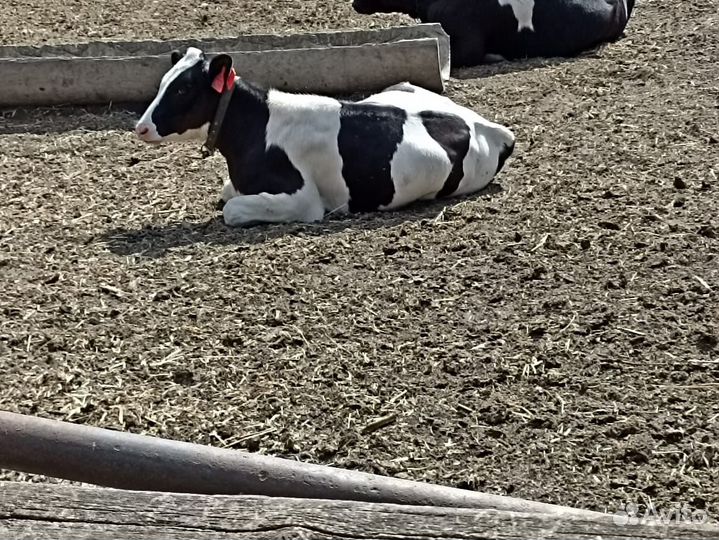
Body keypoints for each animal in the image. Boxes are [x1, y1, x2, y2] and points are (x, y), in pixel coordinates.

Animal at [135, 48, 515, 226]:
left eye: (182, 89)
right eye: (165, 81)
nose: (141, 126)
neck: (258, 126)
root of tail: (492, 127)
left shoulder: (303, 200)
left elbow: (231, 208)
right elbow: (228, 193)